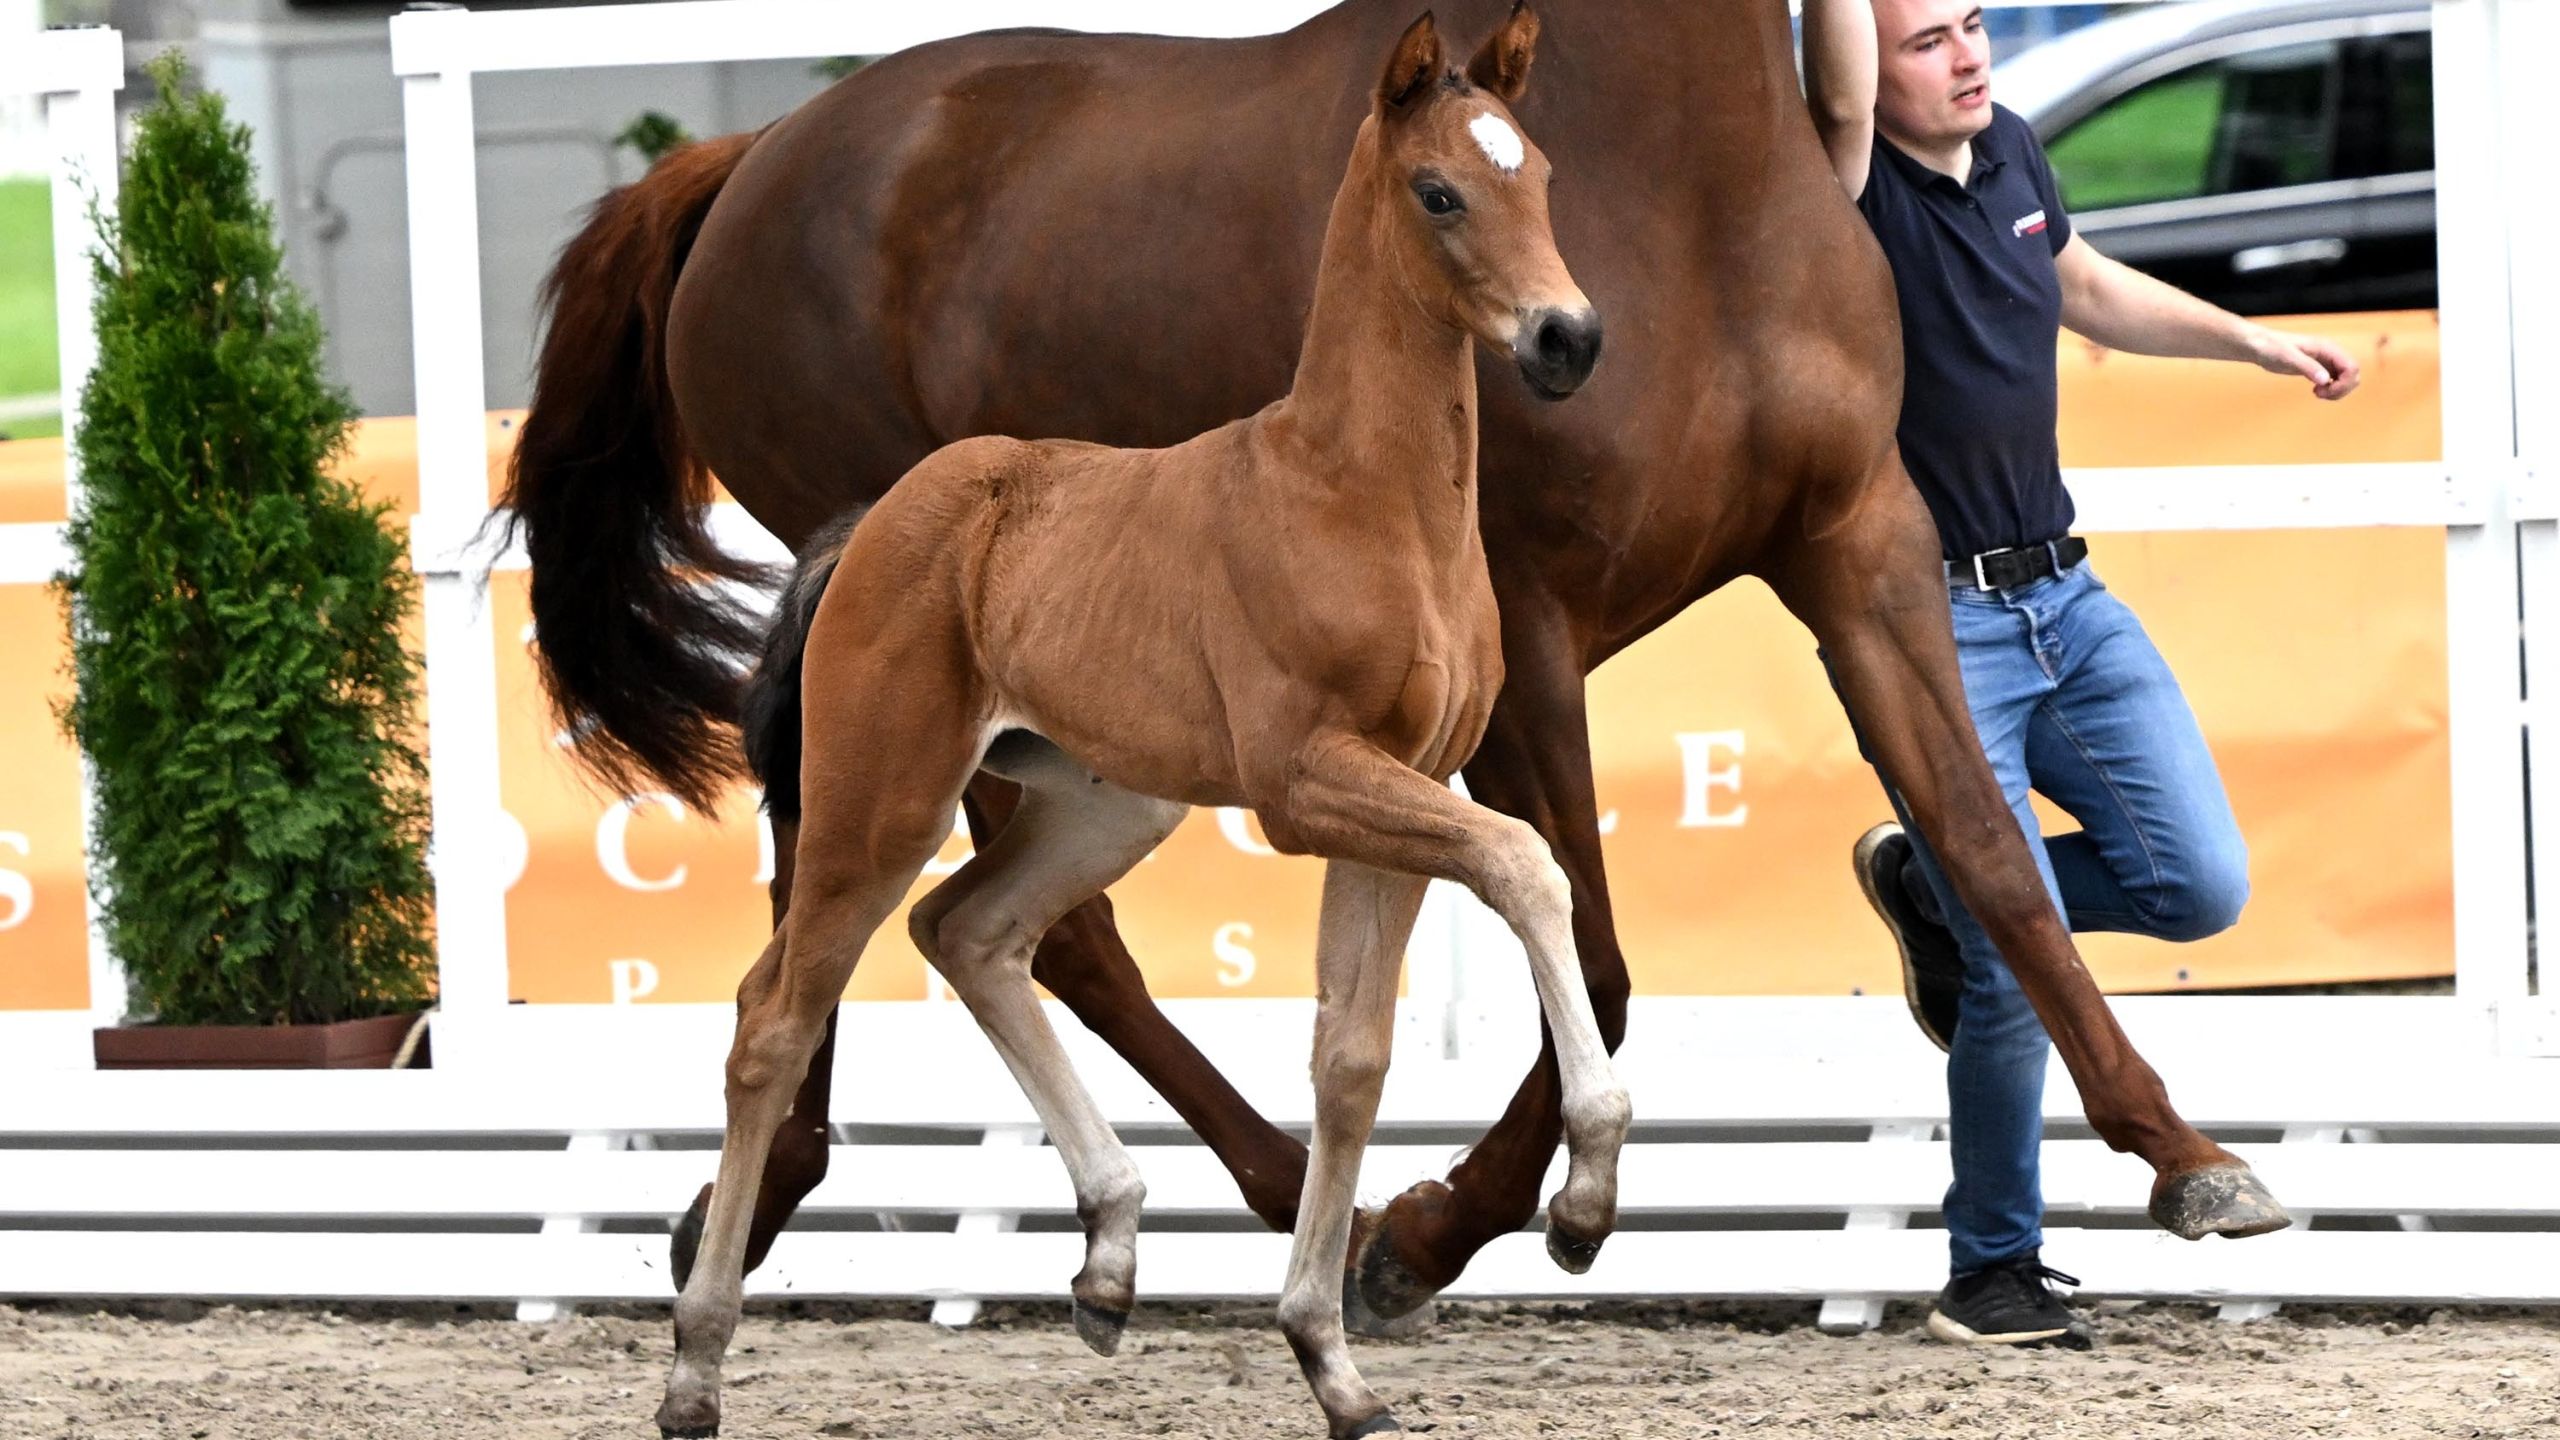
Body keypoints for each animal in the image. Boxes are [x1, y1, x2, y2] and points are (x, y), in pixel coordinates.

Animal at [660, 14, 1617, 1434]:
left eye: (1541, 175)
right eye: (1439, 191)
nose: (1567, 339)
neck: (1364, 498)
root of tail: (873, 523)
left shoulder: (1403, 792)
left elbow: (1350, 1058)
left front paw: (1330, 1360)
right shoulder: (1308, 785)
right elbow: (1527, 865)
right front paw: (1587, 1198)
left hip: (1102, 803)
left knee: (971, 931)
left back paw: (1110, 1254)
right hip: (879, 802)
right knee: (774, 1012)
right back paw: (694, 1364)